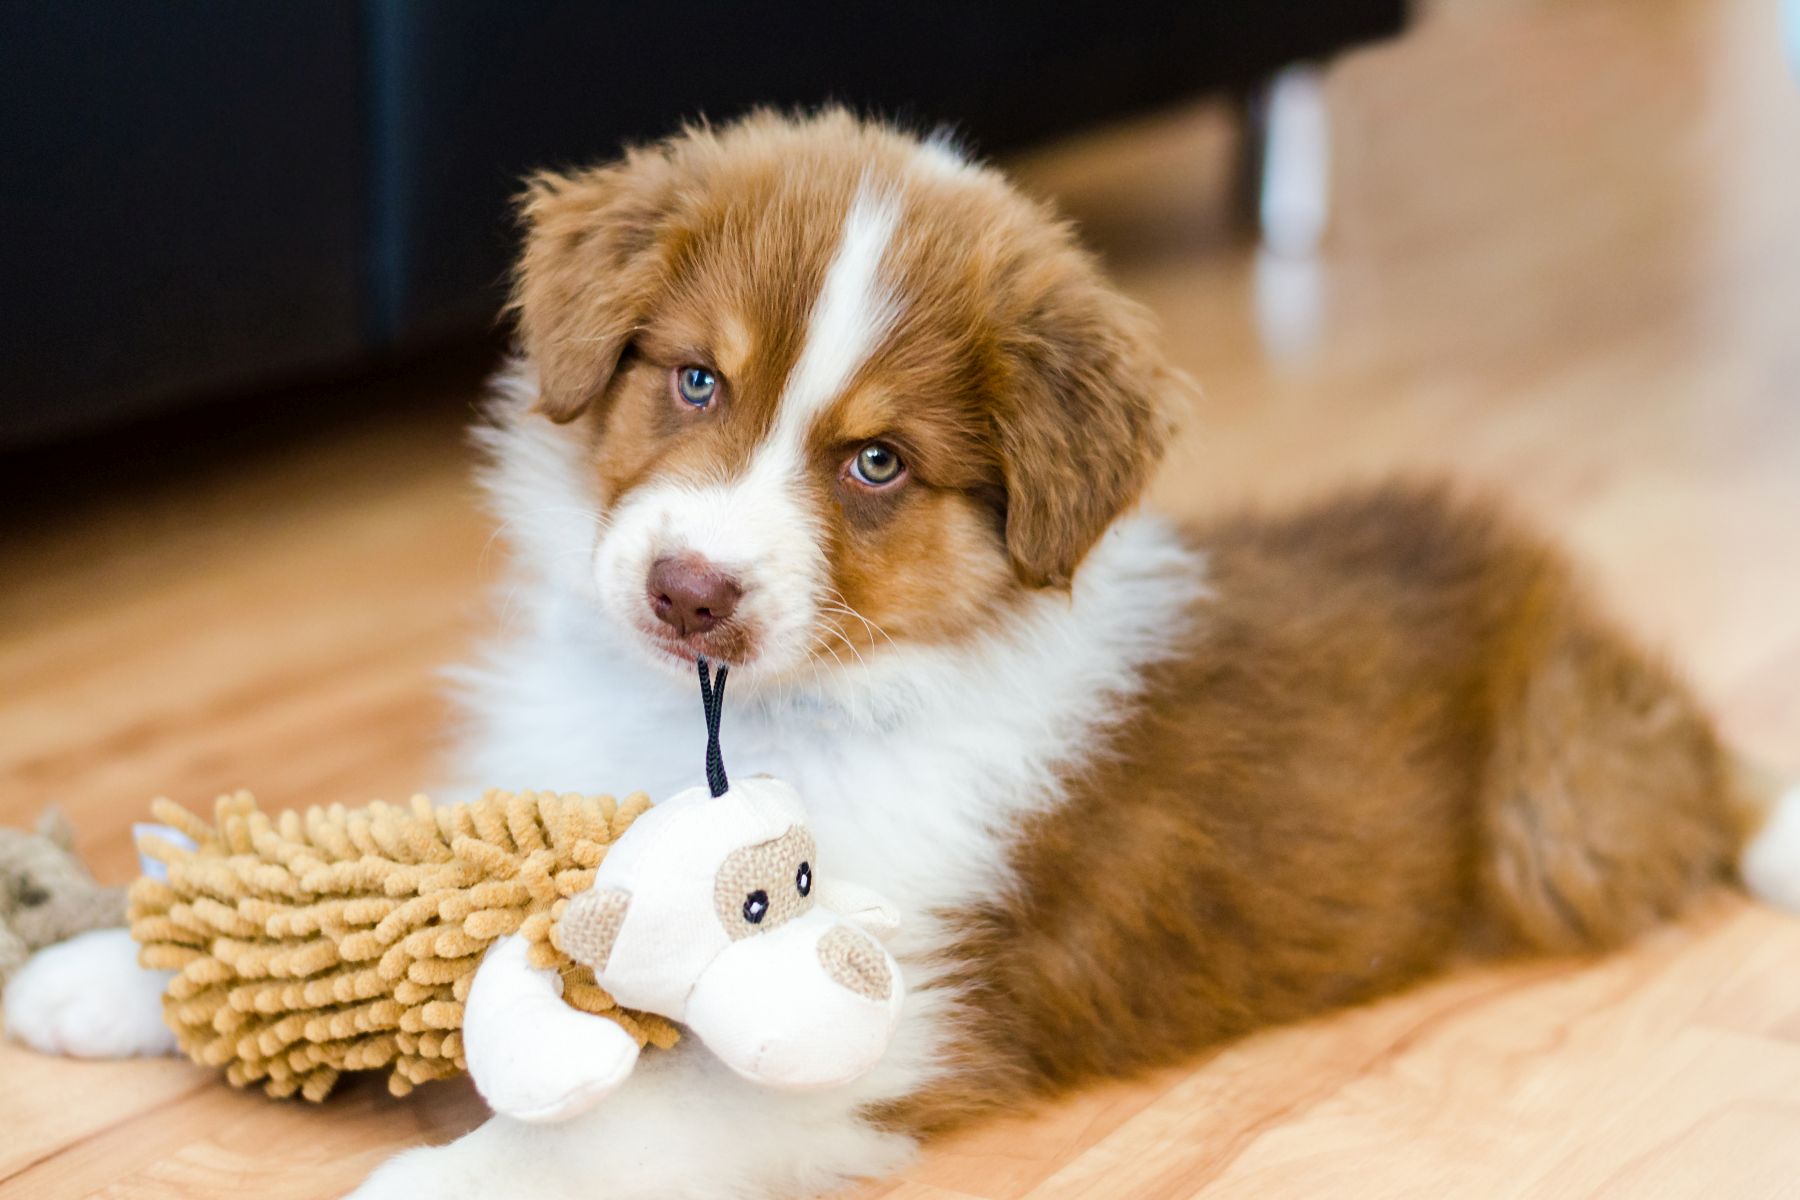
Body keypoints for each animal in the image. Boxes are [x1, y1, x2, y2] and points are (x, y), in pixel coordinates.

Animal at [7, 107, 1792, 1194]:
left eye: (877, 463)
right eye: (697, 380)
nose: (690, 594)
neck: (731, 716)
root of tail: (1538, 584)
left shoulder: (857, 1019)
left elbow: (619, 1124)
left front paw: (433, 1176)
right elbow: (369, 898)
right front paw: (115, 972)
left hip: (1567, 810)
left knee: (1701, 791)